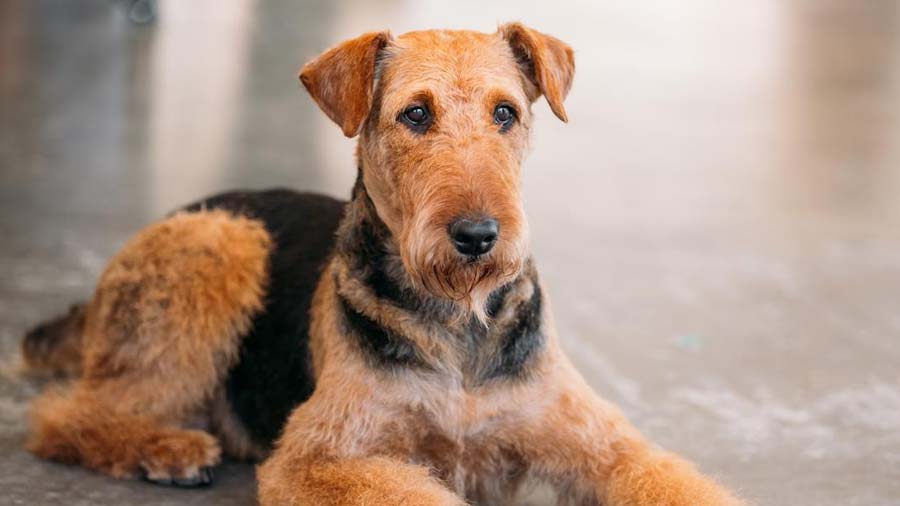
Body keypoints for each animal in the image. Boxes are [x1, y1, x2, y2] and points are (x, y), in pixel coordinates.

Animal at [22, 24, 744, 506]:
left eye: (505, 112)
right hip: (220, 245)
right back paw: (168, 449)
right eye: (415, 114)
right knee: (64, 414)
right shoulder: (321, 455)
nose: (478, 236)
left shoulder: (601, 441)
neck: (458, 322)